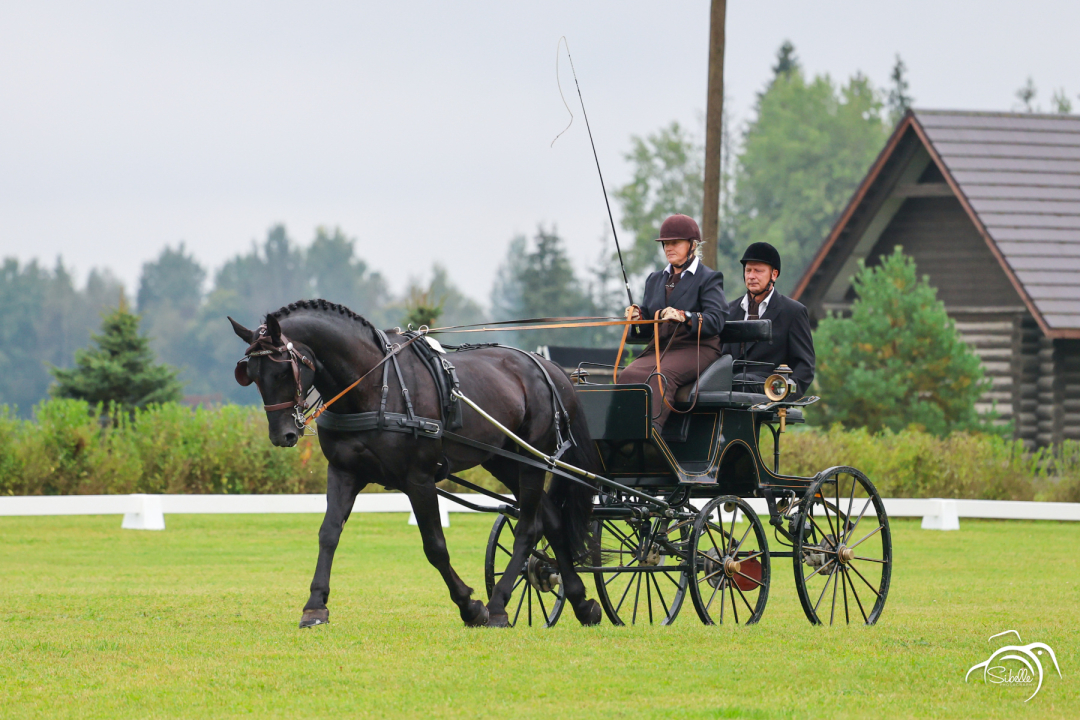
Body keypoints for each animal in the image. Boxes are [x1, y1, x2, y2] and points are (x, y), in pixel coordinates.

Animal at [231, 302, 604, 626]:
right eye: (251, 373)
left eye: (283, 369)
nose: (283, 435)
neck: (375, 385)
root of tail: (549, 369)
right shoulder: (344, 472)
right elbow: (329, 533)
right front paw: (315, 606)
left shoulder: (419, 479)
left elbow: (435, 546)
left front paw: (471, 607)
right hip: (504, 460)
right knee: (551, 520)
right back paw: (581, 602)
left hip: (533, 461)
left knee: (527, 528)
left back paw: (498, 604)